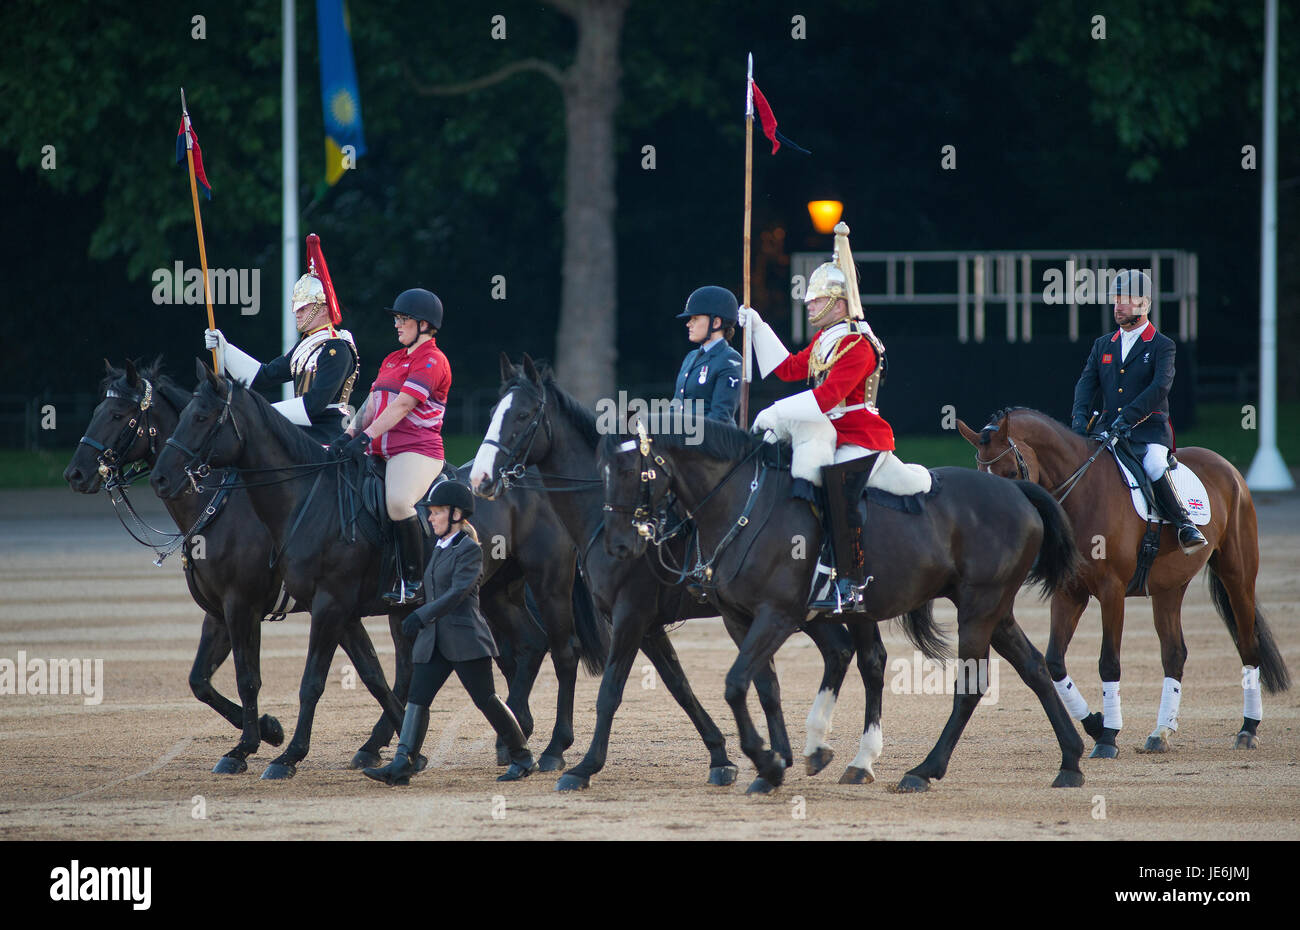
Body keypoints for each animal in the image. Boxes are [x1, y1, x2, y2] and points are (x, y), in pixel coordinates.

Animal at [473, 356, 889, 790]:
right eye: (494, 411)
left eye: (522, 415)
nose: (479, 478)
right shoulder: (648, 625)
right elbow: (679, 686)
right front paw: (721, 755)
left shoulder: (631, 615)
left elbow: (610, 692)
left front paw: (583, 766)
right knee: (836, 652)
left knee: (871, 661)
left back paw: (861, 761)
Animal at [603, 421, 1092, 790]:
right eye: (606, 473)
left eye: (636, 474)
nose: (620, 544)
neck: (745, 502)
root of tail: (1018, 491)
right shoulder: (740, 619)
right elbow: (762, 685)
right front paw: (774, 762)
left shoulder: (778, 615)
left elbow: (736, 683)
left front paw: (767, 759)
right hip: (995, 611)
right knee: (1034, 667)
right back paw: (1070, 761)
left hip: (978, 610)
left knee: (971, 687)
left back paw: (924, 770)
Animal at [956, 408, 1289, 754]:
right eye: (980, 473)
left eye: (1010, 471)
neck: (1084, 492)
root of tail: (1227, 467)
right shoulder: (1069, 593)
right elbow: (1055, 662)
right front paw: (1094, 723)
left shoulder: (1111, 591)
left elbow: (1109, 662)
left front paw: (1108, 736)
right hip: (1169, 588)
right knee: (1174, 653)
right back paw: (1161, 732)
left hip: (1238, 576)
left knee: (1248, 645)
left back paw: (1248, 728)